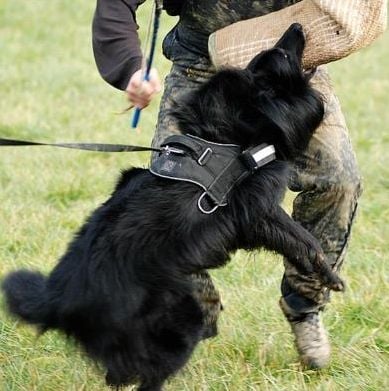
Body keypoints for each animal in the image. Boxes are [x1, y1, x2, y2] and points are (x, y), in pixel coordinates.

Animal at [3, 24, 342, 391]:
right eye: (282, 54)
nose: (296, 26)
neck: (230, 136)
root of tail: (57, 299)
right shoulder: (257, 211)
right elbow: (303, 240)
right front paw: (331, 276)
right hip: (180, 321)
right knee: (150, 373)